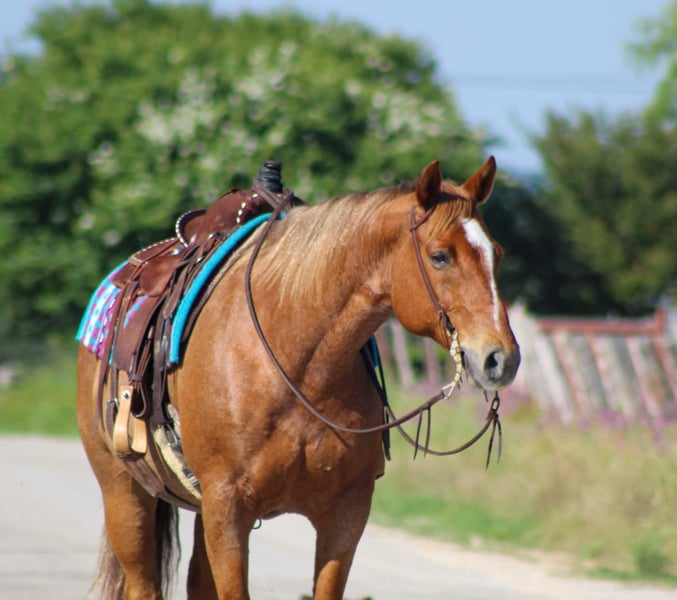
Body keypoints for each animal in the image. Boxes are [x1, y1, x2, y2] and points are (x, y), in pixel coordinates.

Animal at [76, 155, 520, 600]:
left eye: (497, 254)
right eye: (440, 256)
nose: (501, 359)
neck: (293, 367)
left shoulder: (346, 513)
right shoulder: (227, 507)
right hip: (125, 493)